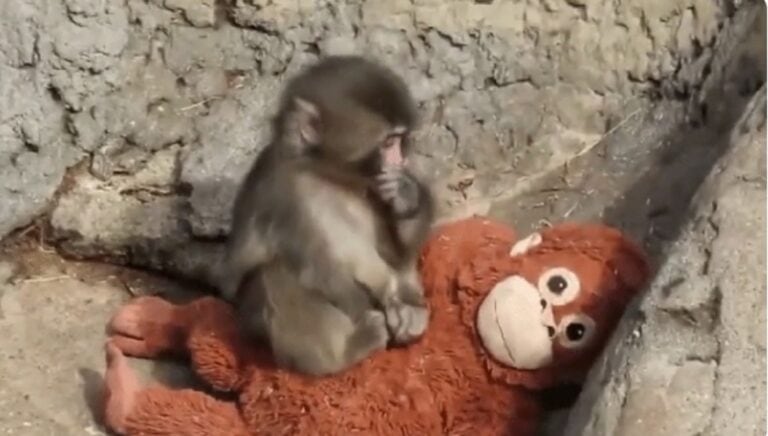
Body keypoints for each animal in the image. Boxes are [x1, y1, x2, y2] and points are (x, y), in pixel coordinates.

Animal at [214, 55, 436, 376]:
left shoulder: (373, 187)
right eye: (387, 143)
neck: (329, 176)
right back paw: (346, 352)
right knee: (275, 275)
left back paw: (410, 307)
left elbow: (396, 252)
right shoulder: (287, 196)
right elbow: (322, 270)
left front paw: (407, 196)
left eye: (399, 140)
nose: (401, 160)